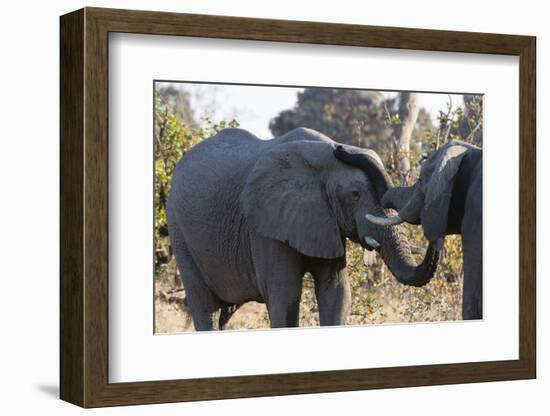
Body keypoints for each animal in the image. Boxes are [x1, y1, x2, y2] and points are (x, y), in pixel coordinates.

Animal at [167, 127, 440, 332]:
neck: (320, 156)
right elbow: (285, 296)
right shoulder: (264, 225)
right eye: (355, 194)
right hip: (179, 231)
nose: (343, 149)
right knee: (205, 306)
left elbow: (337, 293)